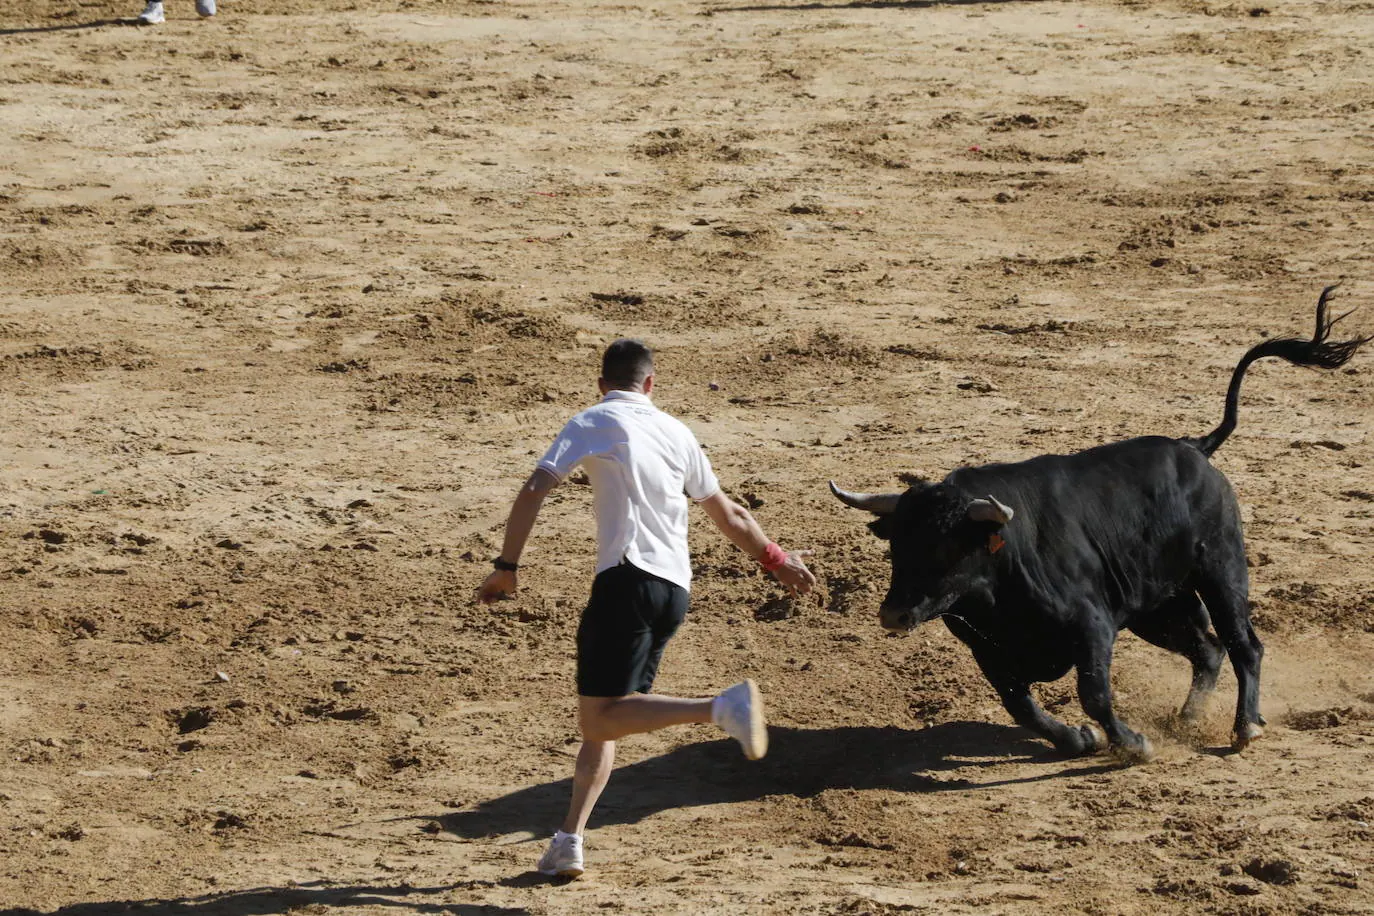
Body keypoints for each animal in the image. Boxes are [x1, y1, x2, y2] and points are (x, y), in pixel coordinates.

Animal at [829, 288, 1368, 769]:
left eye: (948, 548)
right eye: (896, 548)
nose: (893, 615)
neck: (1002, 584)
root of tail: (1193, 446)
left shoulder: (1093, 625)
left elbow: (1093, 693)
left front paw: (1133, 744)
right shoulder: (990, 651)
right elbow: (1020, 705)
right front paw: (1079, 740)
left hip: (1221, 569)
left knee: (1243, 644)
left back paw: (1245, 727)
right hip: (1160, 604)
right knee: (1208, 649)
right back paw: (1189, 719)